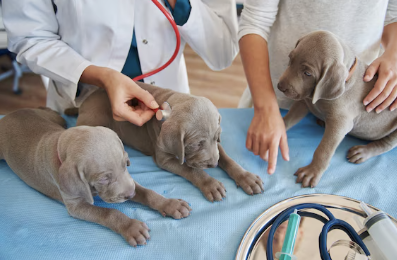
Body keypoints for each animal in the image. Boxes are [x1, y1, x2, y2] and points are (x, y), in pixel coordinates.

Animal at [0, 107, 192, 246]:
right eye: (103, 178)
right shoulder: (76, 205)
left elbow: (147, 192)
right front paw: (131, 227)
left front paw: (171, 204)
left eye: (126, 163)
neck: (61, 143)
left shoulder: (129, 182)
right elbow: (109, 213)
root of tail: (11, 114)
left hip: (54, 118)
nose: (130, 195)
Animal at [77, 83, 262, 201]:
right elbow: (190, 169)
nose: (213, 164)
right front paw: (210, 184)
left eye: (217, 137)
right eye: (196, 144)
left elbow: (227, 158)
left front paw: (246, 177)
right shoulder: (164, 159)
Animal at [276, 30, 396, 188]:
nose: (280, 87)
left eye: (307, 73)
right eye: (290, 59)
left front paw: (312, 172)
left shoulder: (340, 123)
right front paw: (274, 130)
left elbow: (324, 150)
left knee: (386, 144)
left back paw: (362, 152)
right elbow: (288, 119)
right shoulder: (304, 102)